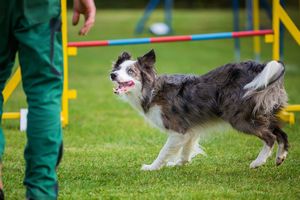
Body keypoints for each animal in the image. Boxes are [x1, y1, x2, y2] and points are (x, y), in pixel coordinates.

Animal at [110, 49, 288, 170]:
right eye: (117, 69)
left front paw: (152, 167)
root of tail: (259, 67)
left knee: (270, 137)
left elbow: (164, 151)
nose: (112, 74)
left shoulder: (177, 130)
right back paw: (280, 157)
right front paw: (179, 163)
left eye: (130, 71)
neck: (152, 91)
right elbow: (185, 150)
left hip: (239, 118)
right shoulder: (190, 130)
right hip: (260, 113)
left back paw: (258, 162)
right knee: (281, 133)